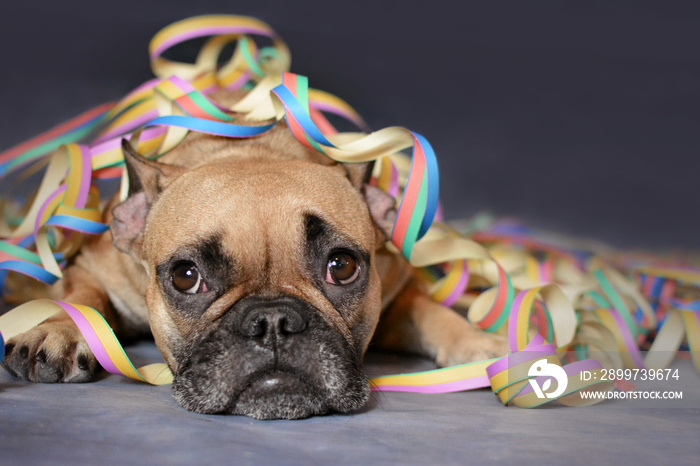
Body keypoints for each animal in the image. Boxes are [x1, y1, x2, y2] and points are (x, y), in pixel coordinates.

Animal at [0, 89, 504, 420]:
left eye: (342, 267)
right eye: (185, 276)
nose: (273, 322)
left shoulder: (397, 285)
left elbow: (426, 309)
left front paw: (474, 342)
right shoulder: (95, 266)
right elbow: (82, 295)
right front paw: (59, 330)